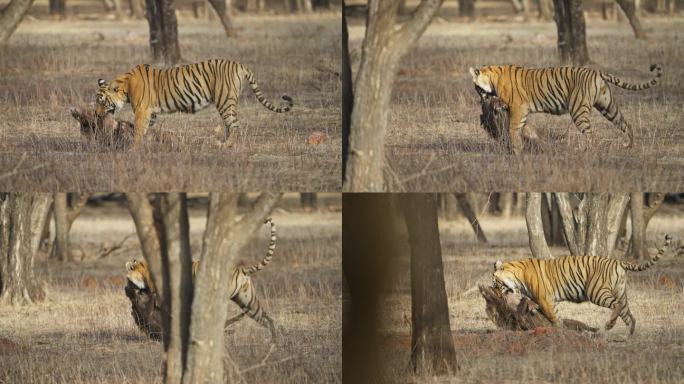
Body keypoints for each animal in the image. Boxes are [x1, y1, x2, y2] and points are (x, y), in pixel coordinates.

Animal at [95, 59, 292, 149]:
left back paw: (225, 145)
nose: (96, 114)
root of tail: (239, 64)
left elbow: (137, 131)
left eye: (101, 101)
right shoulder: (151, 113)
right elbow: (145, 130)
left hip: (224, 102)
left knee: (235, 126)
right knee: (230, 126)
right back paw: (224, 142)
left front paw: (133, 150)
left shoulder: (142, 111)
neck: (125, 87)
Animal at [125, 218, 278, 340]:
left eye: (128, 280)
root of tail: (240, 269)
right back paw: (275, 340)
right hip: (248, 302)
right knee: (267, 318)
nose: (125, 289)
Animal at [470, 63, 664, 153]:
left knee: (590, 133)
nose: (480, 98)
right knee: (625, 123)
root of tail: (597, 72)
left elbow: (513, 129)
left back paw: (586, 152)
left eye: (477, 89)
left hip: (578, 110)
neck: (493, 78)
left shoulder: (518, 108)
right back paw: (629, 146)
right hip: (608, 106)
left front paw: (516, 151)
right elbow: (520, 130)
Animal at [492, 232, 672, 334]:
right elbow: (551, 313)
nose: (497, 293)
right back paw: (628, 336)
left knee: (617, 305)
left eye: (496, 283)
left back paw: (608, 326)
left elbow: (553, 317)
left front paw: (560, 330)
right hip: (621, 291)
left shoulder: (545, 299)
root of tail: (619, 262)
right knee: (629, 315)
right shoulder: (551, 300)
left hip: (596, 292)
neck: (518, 274)